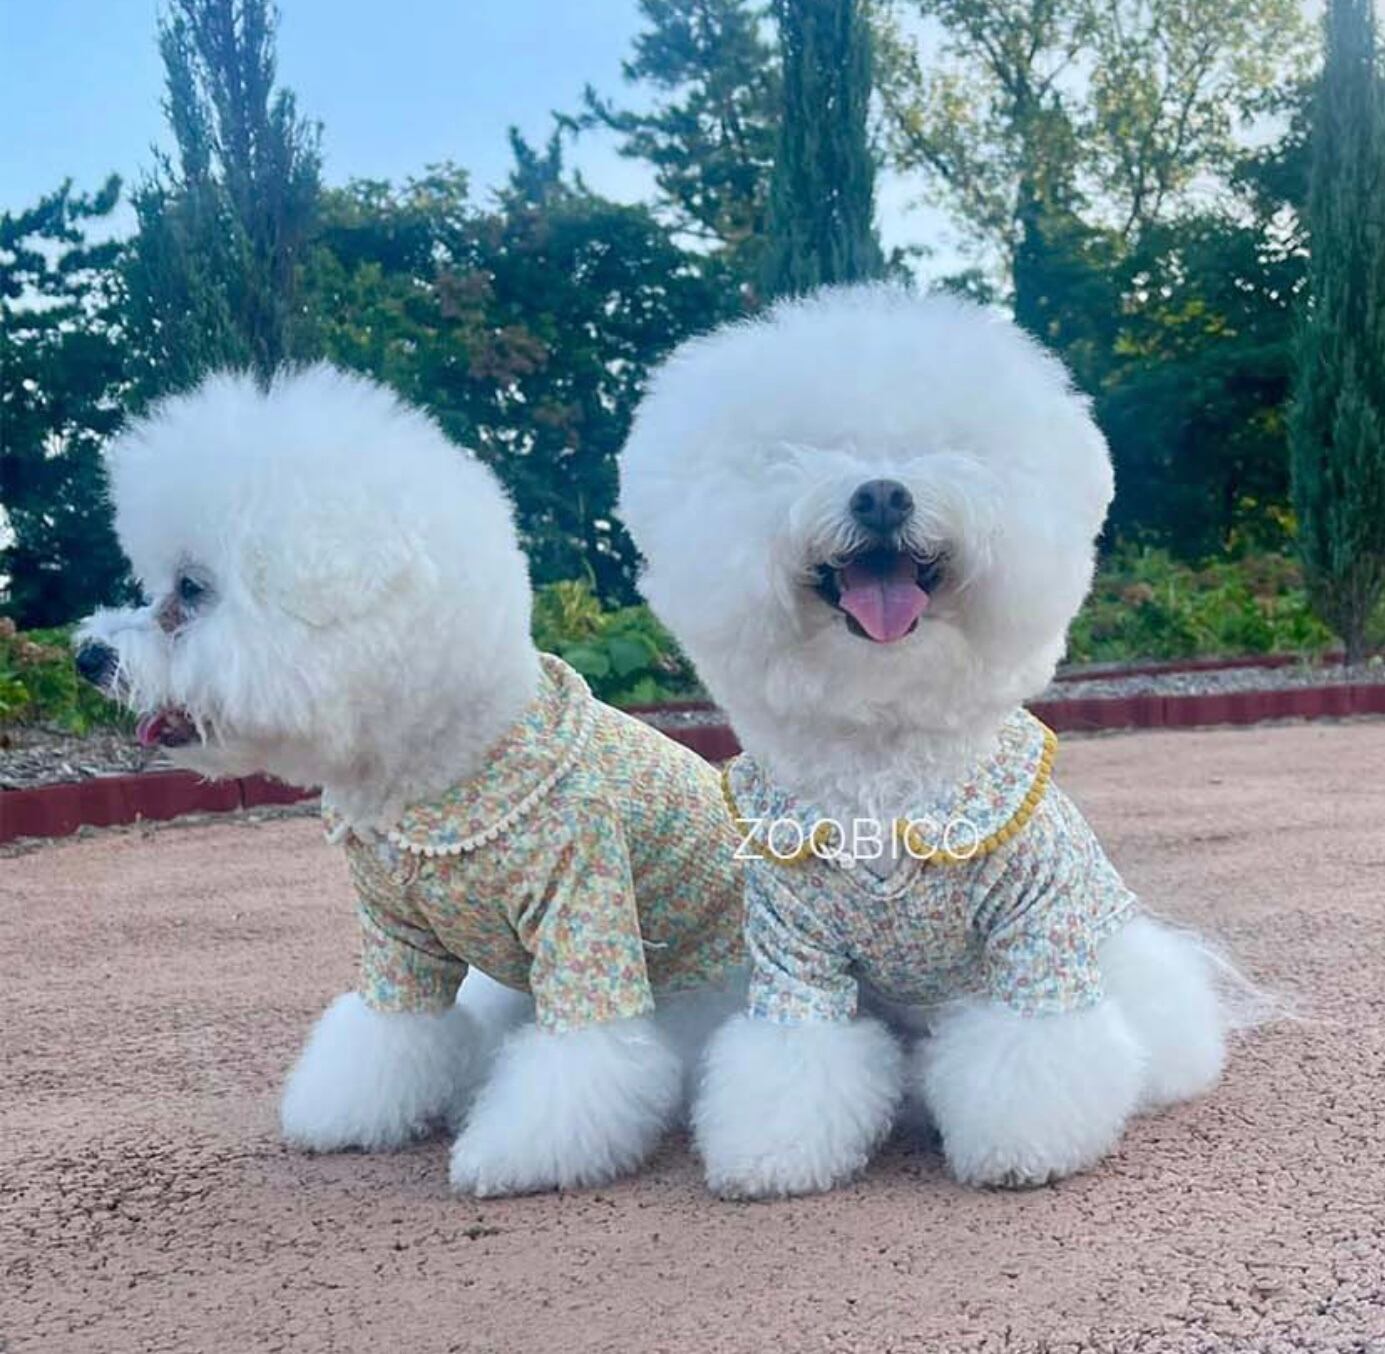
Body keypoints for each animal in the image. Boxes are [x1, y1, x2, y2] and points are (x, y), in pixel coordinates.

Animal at [76, 364, 744, 1196]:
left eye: (191, 589)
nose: (88, 656)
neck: (435, 774)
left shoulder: (582, 912)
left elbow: (580, 1059)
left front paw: (514, 1155)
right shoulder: (397, 940)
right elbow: (387, 1033)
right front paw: (346, 1113)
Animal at [618, 285, 1230, 1198]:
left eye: (946, 449)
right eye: (798, 453)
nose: (880, 494)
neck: (885, 751)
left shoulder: (1034, 933)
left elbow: (1033, 1052)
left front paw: (1021, 1148)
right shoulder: (793, 955)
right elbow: (791, 1060)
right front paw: (774, 1157)